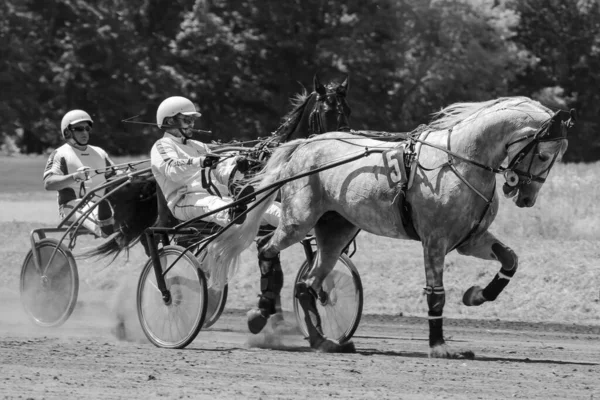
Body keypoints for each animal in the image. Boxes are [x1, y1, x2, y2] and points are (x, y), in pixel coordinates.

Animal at [204, 96, 576, 356]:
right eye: (544, 155)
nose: (525, 196)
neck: (459, 161)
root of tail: (304, 145)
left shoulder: (471, 239)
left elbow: (510, 259)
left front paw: (476, 295)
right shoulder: (435, 240)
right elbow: (436, 294)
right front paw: (439, 346)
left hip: (336, 231)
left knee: (309, 284)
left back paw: (324, 340)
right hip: (298, 221)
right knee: (267, 251)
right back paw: (263, 312)